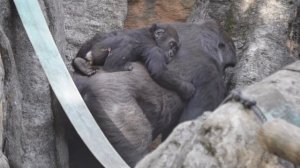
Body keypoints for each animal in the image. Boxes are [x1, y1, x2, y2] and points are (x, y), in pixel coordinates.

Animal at [56, 20, 237, 168]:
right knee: (135, 144)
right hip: (112, 105)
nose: (227, 74)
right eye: (227, 66)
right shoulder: (211, 77)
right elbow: (190, 125)